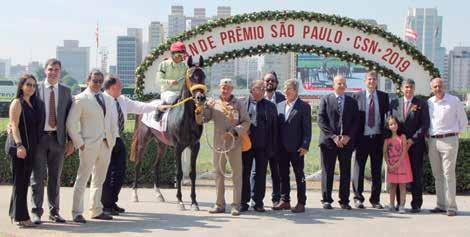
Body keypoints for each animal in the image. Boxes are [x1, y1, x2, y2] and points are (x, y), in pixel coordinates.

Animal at [130, 56, 207, 211]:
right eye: (191, 76)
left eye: (203, 76)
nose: (201, 97)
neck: (187, 117)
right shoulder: (178, 147)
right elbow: (179, 173)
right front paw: (180, 201)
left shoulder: (195, 146)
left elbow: (192, 173)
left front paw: (194, 202)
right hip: (143, 141)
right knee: (138, 164)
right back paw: (135, 195)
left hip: (162, 145)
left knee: (156, 166)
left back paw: (159, 194)